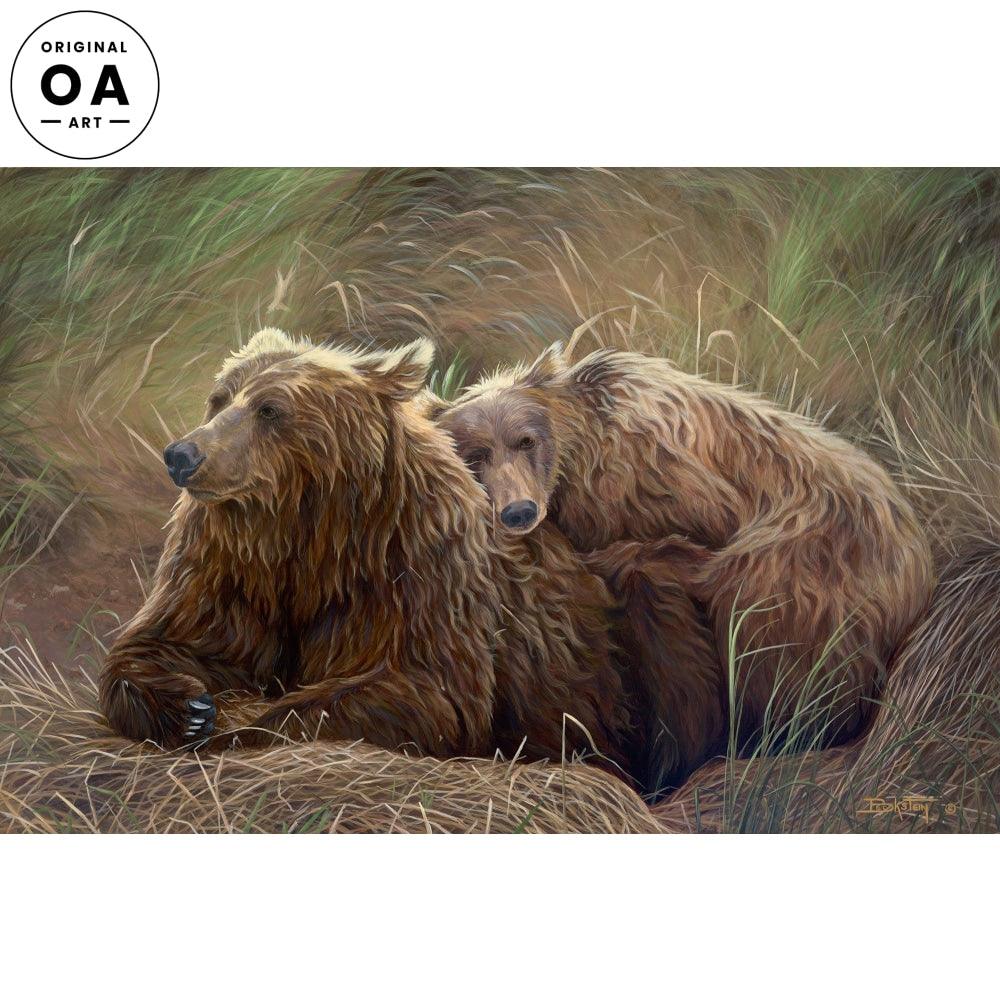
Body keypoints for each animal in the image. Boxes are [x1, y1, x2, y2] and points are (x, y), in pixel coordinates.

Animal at [99, 329, 639, 782]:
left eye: (269, 409)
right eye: (219, 399)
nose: (182, 455)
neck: (308, 526)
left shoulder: (413, 565)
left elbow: (425, 687)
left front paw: (244, 726)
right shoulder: (231, 562)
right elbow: (169, 638)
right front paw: (188, 709)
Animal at [431, 343, 936, 752]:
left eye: (526, 440)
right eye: (476, 454)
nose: (518, 511)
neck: (579, 458)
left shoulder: (674, 483)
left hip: (806, 566)